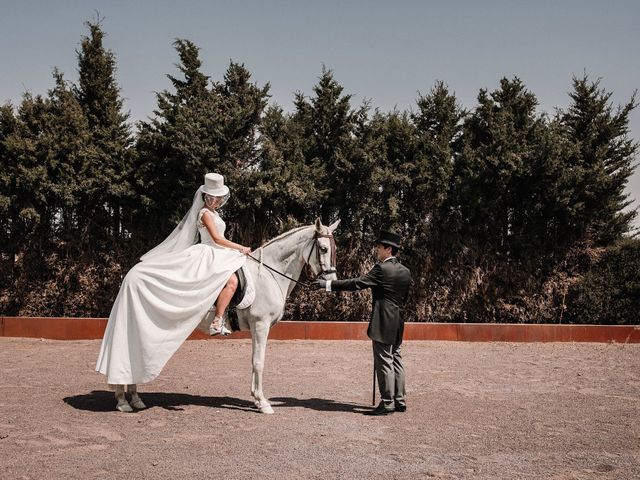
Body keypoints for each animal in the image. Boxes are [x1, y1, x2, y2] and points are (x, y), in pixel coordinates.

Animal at [114, 219, 340, 414]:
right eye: (323, 249)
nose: (332, 280)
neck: (268, 275)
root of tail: (131, 274)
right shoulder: (261, 325)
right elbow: (259, 362)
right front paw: (263, 403)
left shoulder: (256, 328)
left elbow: (253, 361)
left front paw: (255, 398)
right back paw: (123, 402)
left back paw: (134, 400)